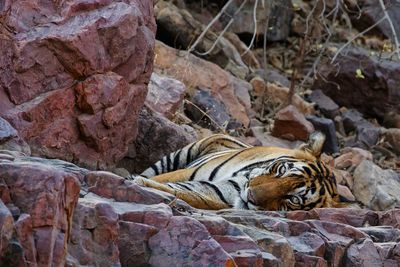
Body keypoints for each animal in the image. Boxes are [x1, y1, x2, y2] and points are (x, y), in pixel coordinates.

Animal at [130, 132, 342, 211]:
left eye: (294, 200)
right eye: (282, 170)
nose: (251, 196)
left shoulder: (215, 193)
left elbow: (180, 191)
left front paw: (140, 184)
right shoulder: (188, 172)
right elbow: (163, 179)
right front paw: (136, 180)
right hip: (183, 153)